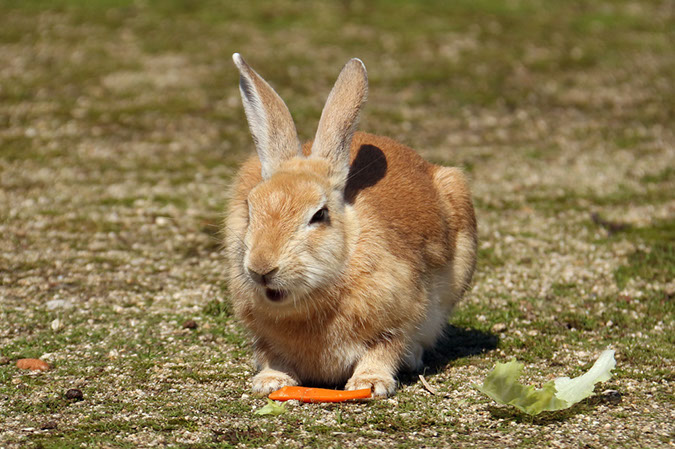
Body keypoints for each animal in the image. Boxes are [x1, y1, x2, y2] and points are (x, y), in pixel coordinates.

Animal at [225, 53, 477, 397]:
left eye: (319, 215)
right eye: (251, 209)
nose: (261, 268)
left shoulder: (398, 316)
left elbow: (385, 348)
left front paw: (370, 383)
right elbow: (271, 353)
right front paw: (271, 380)